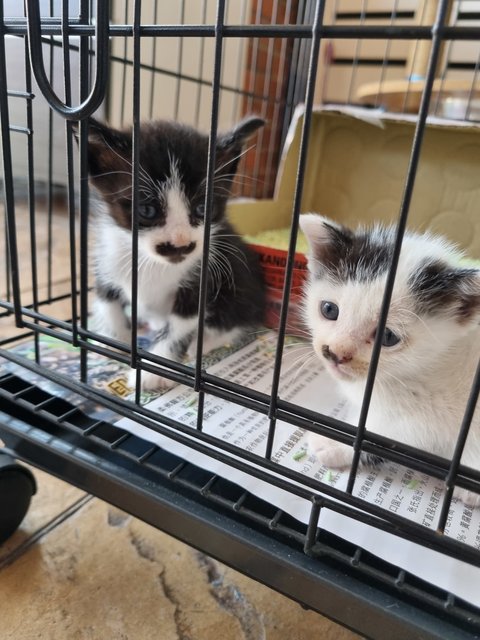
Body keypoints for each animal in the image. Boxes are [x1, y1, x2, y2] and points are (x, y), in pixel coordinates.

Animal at [300, 214, 480, 504]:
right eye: (329, 310)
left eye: (387, 336)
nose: (336, 353)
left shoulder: (429, 418)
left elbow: (383, 437)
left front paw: (332, 443)